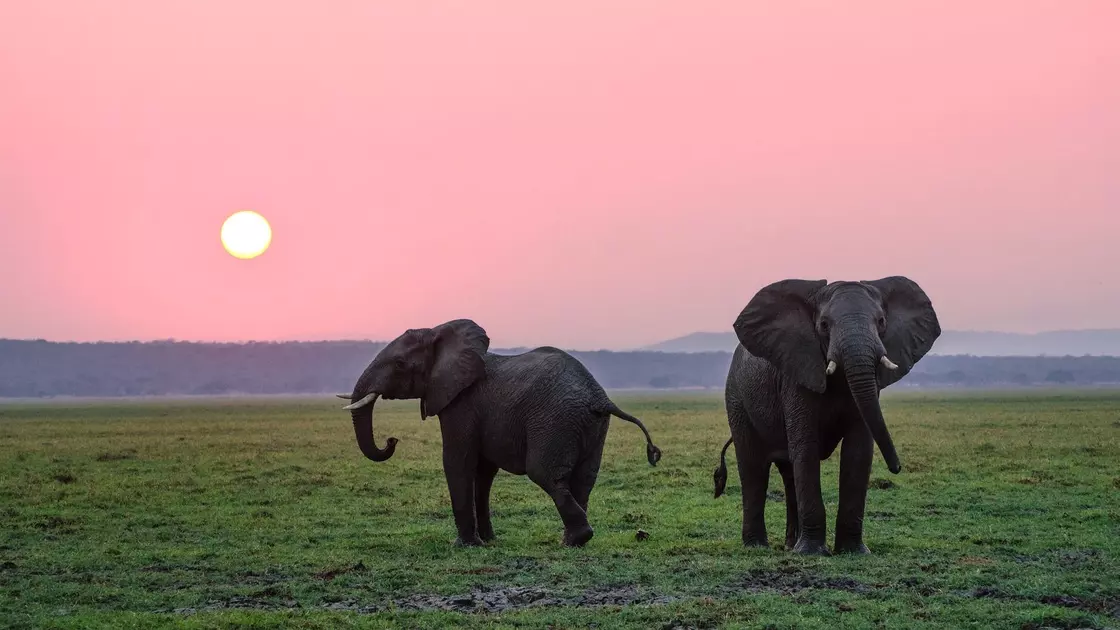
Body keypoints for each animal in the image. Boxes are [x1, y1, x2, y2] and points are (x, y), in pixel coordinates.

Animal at [338, 319, 662, 547]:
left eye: (400, 364)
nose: (391, 440)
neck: (440, 333)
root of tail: (599, 396)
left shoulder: (461, 403)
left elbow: (457, 462)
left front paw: (465, 545)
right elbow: (483, 472)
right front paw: (489, 541)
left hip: (556, 420)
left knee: (545, 473)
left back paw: (576, 539)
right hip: (591, 424)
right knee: (584, 479)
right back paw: (572, 541)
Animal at [712, 277, 940, 555]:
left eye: (881, 322)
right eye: (823, 325)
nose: (897, 468)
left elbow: (858, 451)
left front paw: (853, 552)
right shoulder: (798, 374)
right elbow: (806, 448)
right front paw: (811, 553)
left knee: (788, 473)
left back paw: (790, 545)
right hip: (737, 399)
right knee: (754, 468)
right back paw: (757, 546)